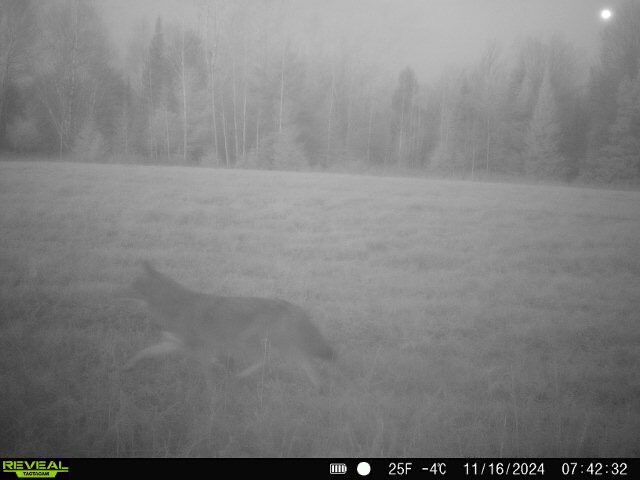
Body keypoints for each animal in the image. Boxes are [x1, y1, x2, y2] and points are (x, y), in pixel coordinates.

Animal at [122, 261, 335, 386]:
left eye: (133, 285)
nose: (119, 291)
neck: (173, 305)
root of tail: (292, 306)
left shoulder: (201, 349)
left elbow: (208, 377)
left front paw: (212, 399)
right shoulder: (176, 344)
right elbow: (143, 352)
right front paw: (128, 367)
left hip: (253, 343)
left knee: (268, 360)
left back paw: (240, 377)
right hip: (280, 347)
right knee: (304, 365)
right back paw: (318, 390)